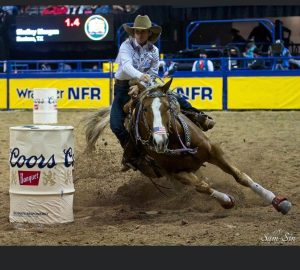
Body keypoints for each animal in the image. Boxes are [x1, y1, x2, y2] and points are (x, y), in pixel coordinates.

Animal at [83, 77, 292, 214]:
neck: (176, 143)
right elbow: (202, 187)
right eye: (144, 110)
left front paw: (277, 201)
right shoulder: (176, 173)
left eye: (167, 107)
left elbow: (240, 176)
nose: (159, 141)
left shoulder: (214, 151)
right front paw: (227, 201)